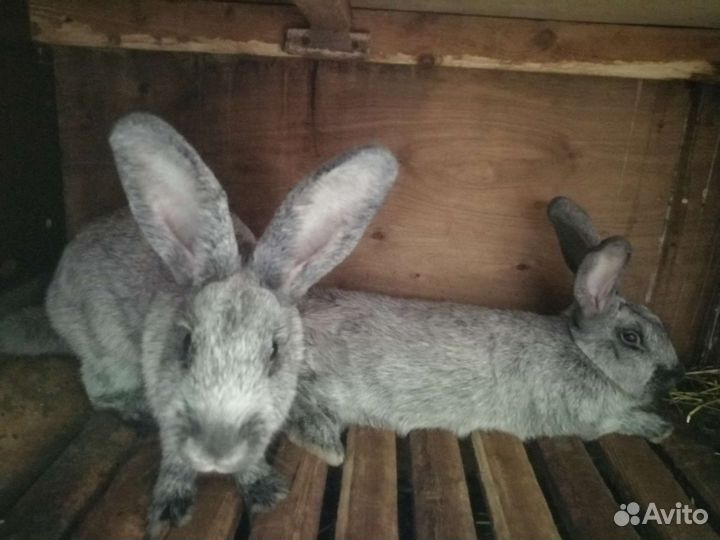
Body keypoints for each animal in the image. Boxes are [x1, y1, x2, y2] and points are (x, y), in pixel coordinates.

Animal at [41, 112, 398, 537]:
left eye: (274, 353)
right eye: (185, 344)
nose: (216, 450)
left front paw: (265, 491)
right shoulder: (168, 410)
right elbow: (174, 458)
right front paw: (170, 509)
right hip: (106, 353)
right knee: (98, 391)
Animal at [282, 196, 685, 467]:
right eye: (632, 338)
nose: (677, 375)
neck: (583, 352)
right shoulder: (592, 419)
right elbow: (620, 422)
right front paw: (661, 427)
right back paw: (325, 445)